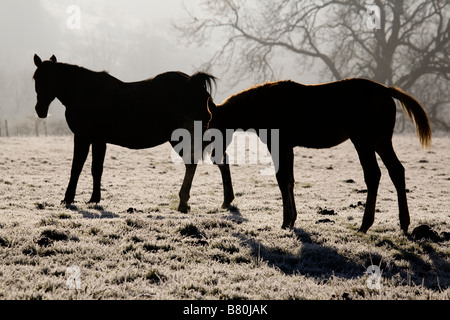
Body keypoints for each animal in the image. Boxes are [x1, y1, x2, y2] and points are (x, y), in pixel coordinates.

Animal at [32, 54, 236, 211]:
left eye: (42, 79)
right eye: (36, 78)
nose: (39, 110)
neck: (84, 92)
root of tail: (194, 84)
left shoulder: (83, 137)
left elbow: (76, 168)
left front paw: (68, 198)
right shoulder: (98, 140)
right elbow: (96, 169)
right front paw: (94, 199)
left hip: (183, 138)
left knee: (192, 164)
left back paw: (183, 202)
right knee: (220, 162)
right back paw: (226, 201)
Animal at [206, 77, 430, 232]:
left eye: (211, 124)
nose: (214, 156)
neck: (265, 105)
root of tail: (385, 90)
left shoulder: (278, 144)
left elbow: (281, 179)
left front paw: (286, 220)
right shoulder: (288, 147)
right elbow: (289, 180)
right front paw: (292, 219)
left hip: (364, 141)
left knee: (373, 175)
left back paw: (365, 224)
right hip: (381, 141)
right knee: (396, 171)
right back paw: (403, 223)